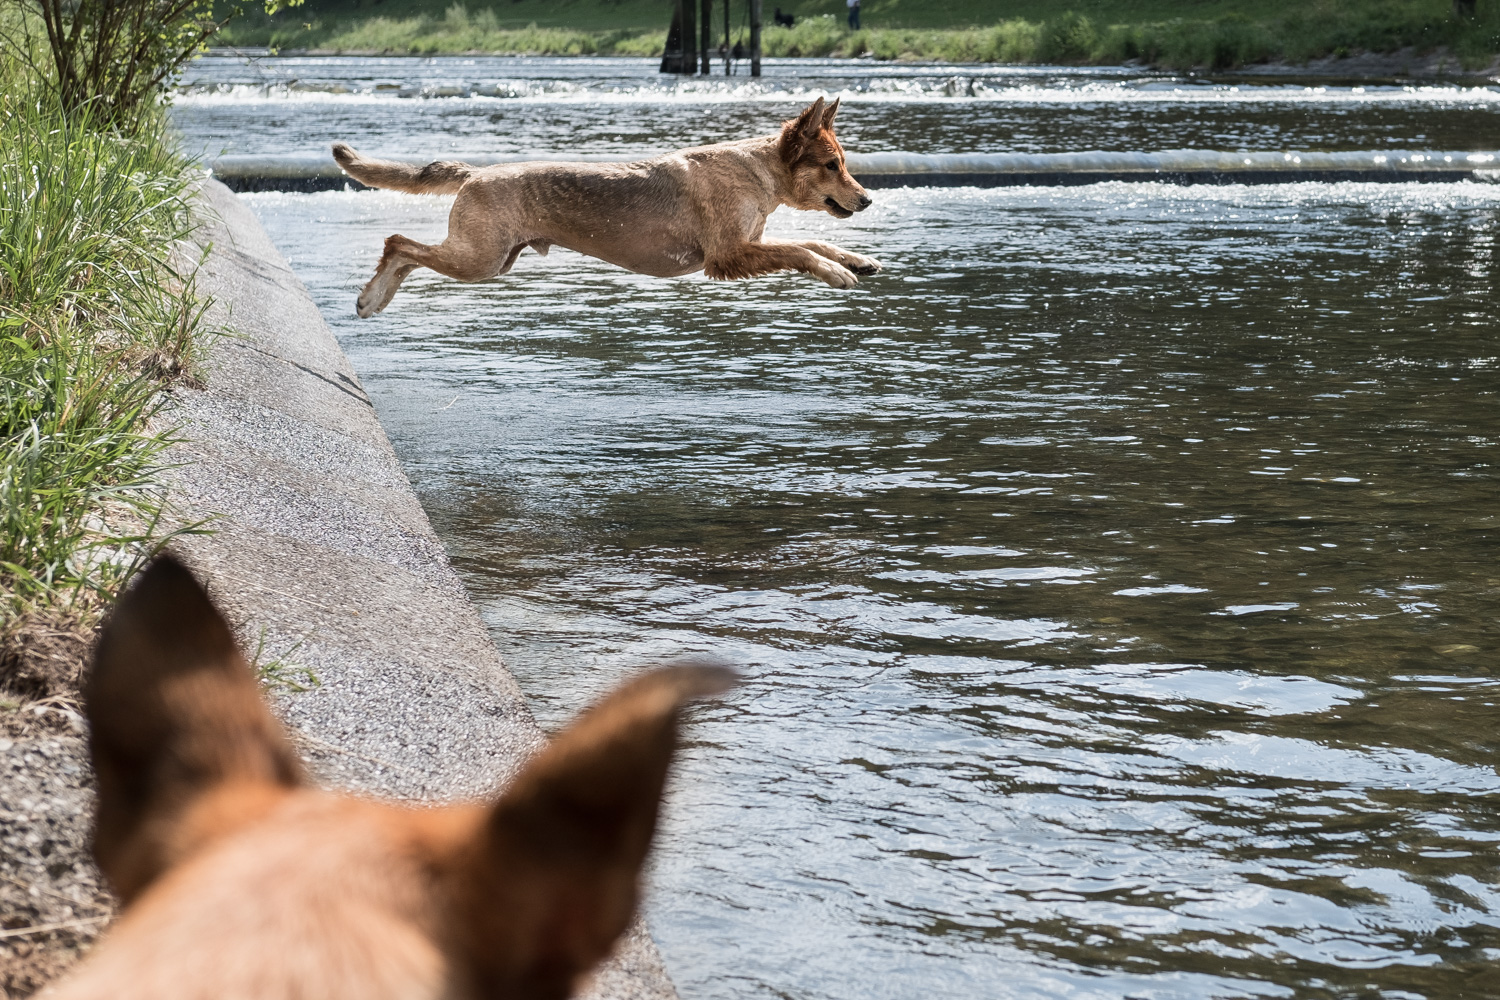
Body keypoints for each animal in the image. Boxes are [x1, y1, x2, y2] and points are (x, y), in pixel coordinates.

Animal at [328, 96, 876, 316]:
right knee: (398, 243)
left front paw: (856, 259)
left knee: (406, 252)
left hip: (493, 260)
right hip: (478, 257)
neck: (756, 170)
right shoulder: (729, 255)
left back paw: (375, 298)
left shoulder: (750, 243)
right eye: (832, 164)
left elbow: (812, 239)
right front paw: (836, 273)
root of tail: (475, 172)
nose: (868, 198)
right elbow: (800, 250)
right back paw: (372, 297)